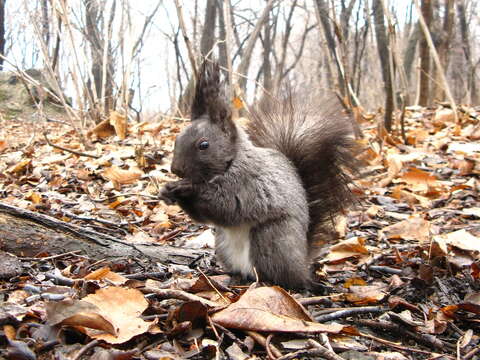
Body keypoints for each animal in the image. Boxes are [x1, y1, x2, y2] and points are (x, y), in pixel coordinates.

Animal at [159, 61, 358, 290]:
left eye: (204, 145)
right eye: (177, 139)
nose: (176, 170)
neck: (231, 162)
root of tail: (302, 262)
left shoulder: (246, 184)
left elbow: (224, 206)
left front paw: (185, 189)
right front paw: (166, 190)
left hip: (271, 240)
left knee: (282, 277)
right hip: (224, 245)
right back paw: (233, 276)